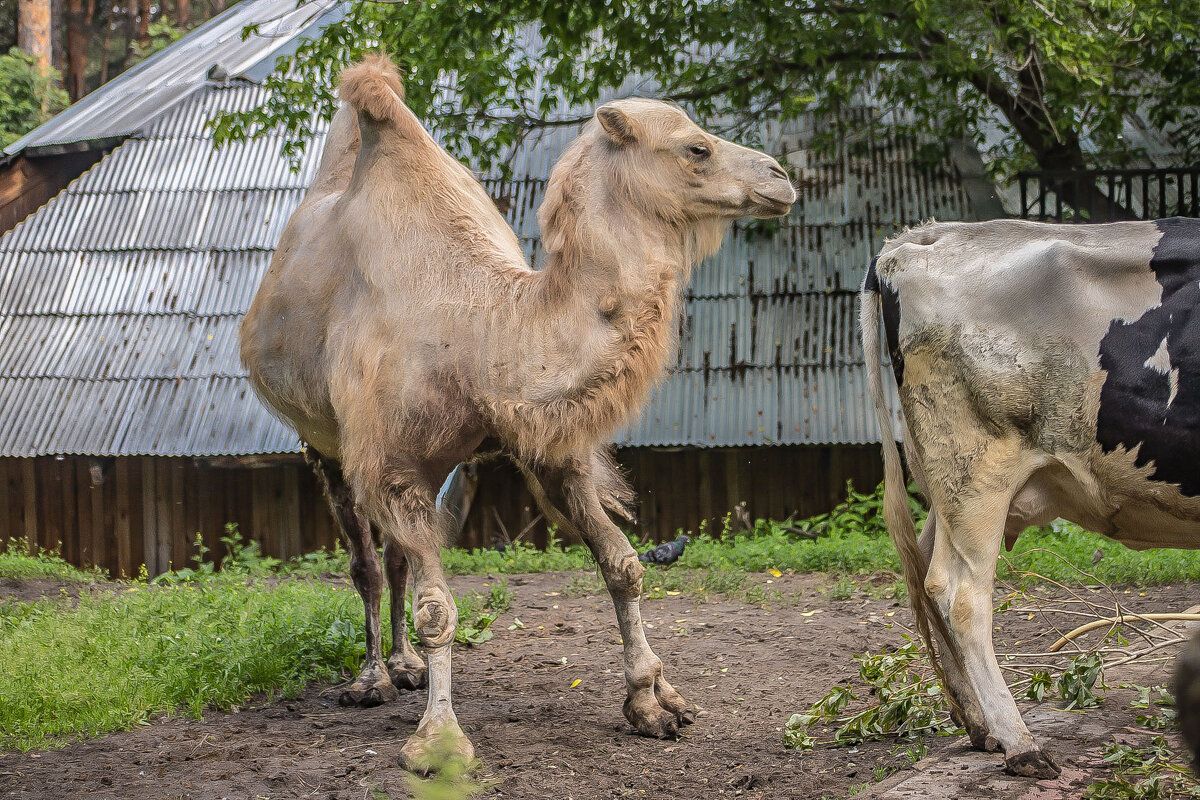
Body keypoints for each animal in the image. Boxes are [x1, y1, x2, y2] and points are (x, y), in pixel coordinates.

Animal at [240, 56, 796, 767]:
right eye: (694, 147)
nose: (779, 177)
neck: (481, 334)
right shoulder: (390, 460)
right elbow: (437, 610)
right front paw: (440, 742)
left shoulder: (547, 446)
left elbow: (623, 565)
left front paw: (654, 702)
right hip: (326, 444)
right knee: (366, 563)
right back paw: (370, 680)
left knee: (394, 559)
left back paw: (404, 669)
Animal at [859, 217, 1200, 777]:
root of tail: (924, 237)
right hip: (977, 473)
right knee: (961, 597)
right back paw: (1021, 744)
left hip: (948, 483)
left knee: (928, 572)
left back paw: (982, 727)